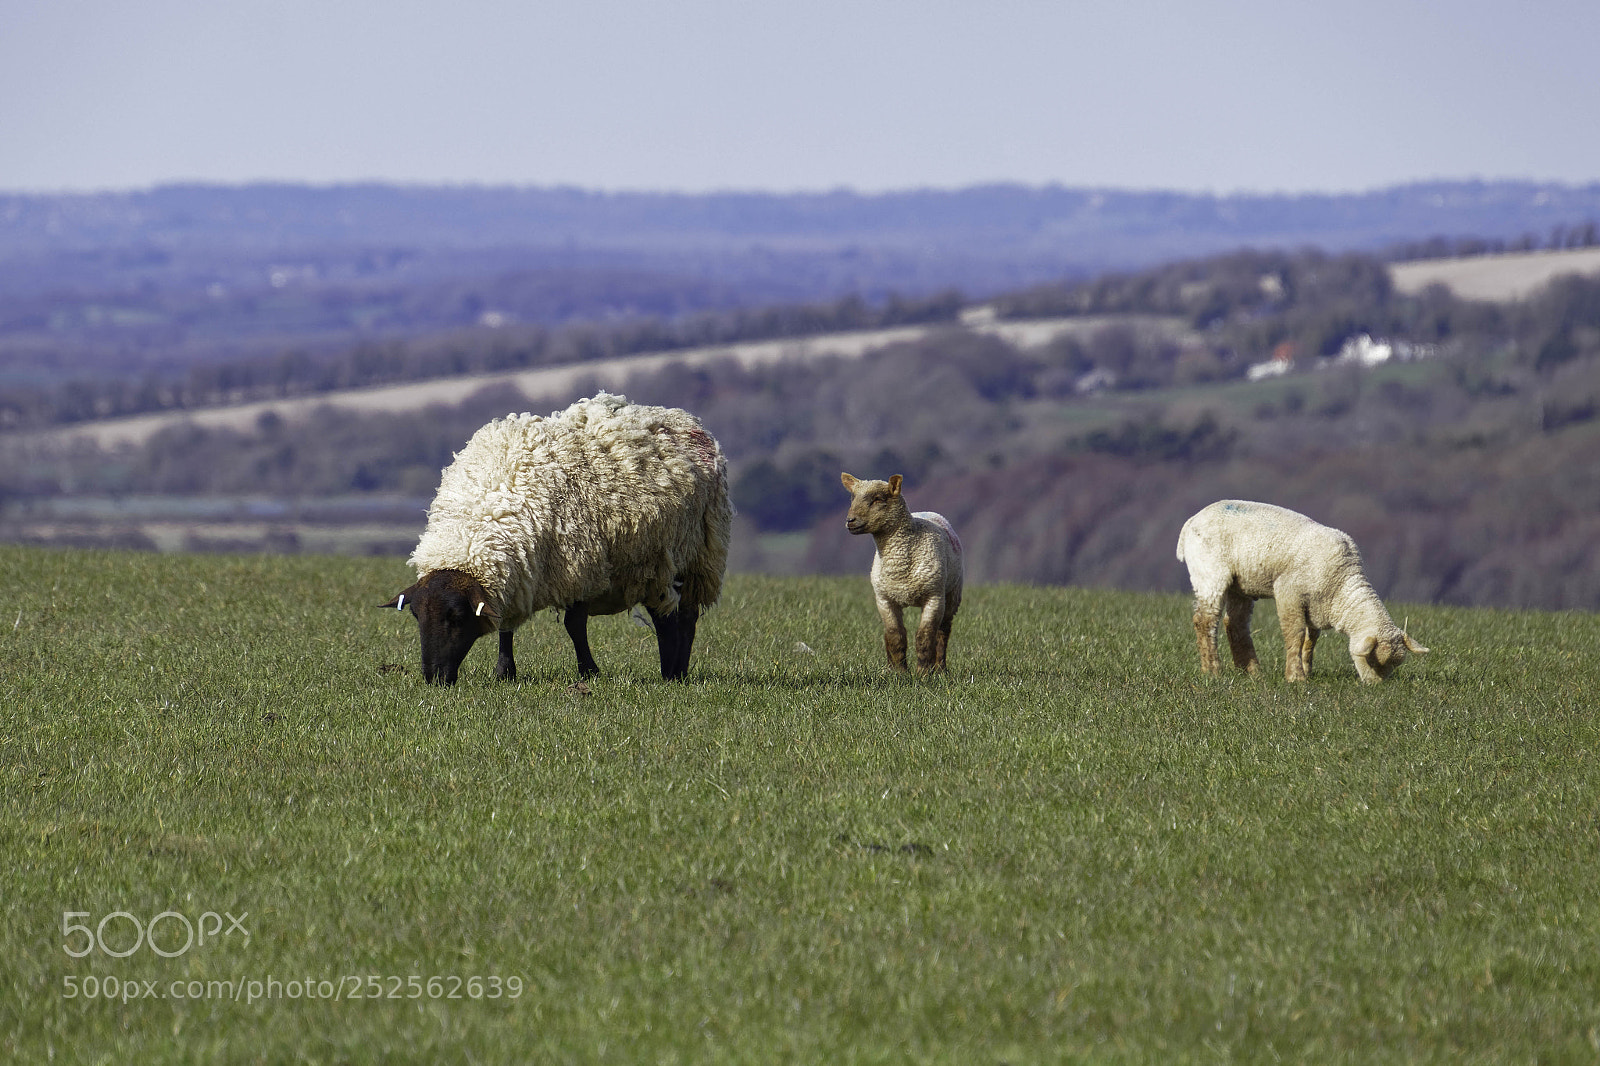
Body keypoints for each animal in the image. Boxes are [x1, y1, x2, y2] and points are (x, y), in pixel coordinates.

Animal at [380, 393, 732, 684]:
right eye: (416, 616)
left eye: (456, 617)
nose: (434, 679)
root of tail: (685, 420)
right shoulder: (519, 575)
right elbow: (506, 626)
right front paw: (504, 672)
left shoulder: (581, 566)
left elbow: (574, 626)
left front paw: (589, 672)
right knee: (668, 616)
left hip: (693, 557)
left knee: (682, 617)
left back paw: (675, 672)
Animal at [840, 473, 964, 673]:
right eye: (853, 497)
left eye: (878, 499)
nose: (850, 521)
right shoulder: (884, 599)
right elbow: (894, 635)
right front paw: (899, 672)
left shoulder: (934, 596)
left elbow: (925, 636)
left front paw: (923, 673)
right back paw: (890, 668)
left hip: (952, 594)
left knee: (943, 632)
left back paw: (940, 668)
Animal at [1176, 499, 1428, 683]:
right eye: (1373, 661)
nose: (1378, 686)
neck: (1341, 587)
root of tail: (1191, 521)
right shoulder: (1289, 592)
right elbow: (1295, 634)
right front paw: (1295, 678)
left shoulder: (1314, 606)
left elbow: (1310, 639)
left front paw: (1306, 670)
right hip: (1210, 573)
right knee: (1205, 621)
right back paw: (1212, 670)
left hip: (1241, 584)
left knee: (1235, 623)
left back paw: (1252, 671)